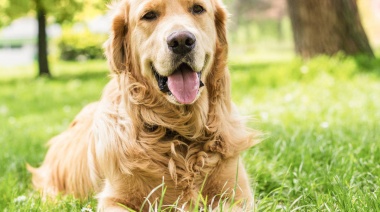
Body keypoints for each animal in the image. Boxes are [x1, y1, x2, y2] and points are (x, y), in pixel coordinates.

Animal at [29, 0, 255, 210]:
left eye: (198, 9)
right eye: (149, 15)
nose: (182, 41)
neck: (179, 131)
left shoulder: (237, 195)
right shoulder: (115, 198)